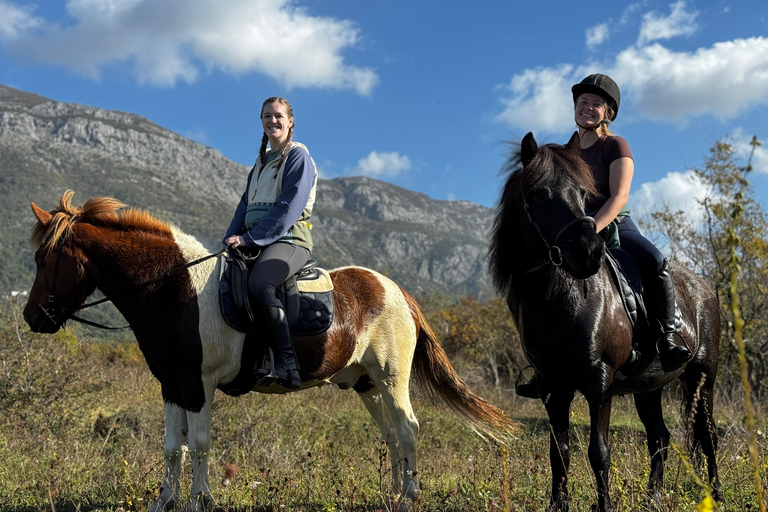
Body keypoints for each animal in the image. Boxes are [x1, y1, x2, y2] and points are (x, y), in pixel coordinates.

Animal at [23, 190, 519, 512]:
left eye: (45, 259)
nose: (32, 317)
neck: (172, 287)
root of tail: (397, 291)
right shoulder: (171, 384)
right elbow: (171, 447)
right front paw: (164, 501)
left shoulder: (198, 384)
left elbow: (198, 444)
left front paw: (199, 501)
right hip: (366, 384)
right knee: (392, 434)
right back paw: (393, 495)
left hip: (391, 378)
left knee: (409, 428)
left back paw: (409, 497)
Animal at [488, 133, 721, 512]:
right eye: (538, 194)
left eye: (584, 194)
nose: (589, 252)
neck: (559, 301)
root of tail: (704, 287)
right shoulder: (553, 386)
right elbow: (559, 452)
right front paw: (558, 505)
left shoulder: (598, 382)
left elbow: (599, 452)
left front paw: (605, 505)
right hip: (649, 386)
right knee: (659, 436)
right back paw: (653, 498)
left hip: (703, 377)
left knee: (708, 433)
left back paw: (717, 493)